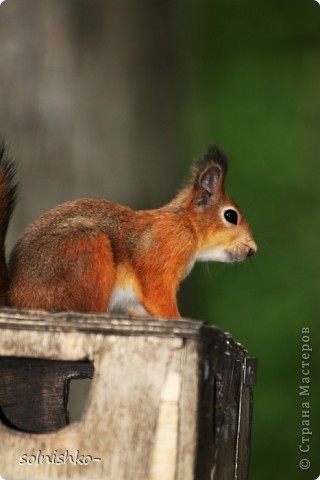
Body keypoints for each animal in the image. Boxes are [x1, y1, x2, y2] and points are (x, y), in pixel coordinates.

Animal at [0, 141, 256, 316]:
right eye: (230, 216)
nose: (253, 249)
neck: (186, 225)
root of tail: (14, 296)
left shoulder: (135, 302)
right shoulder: (160, 259)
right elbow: (159, 298)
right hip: (86, 250)